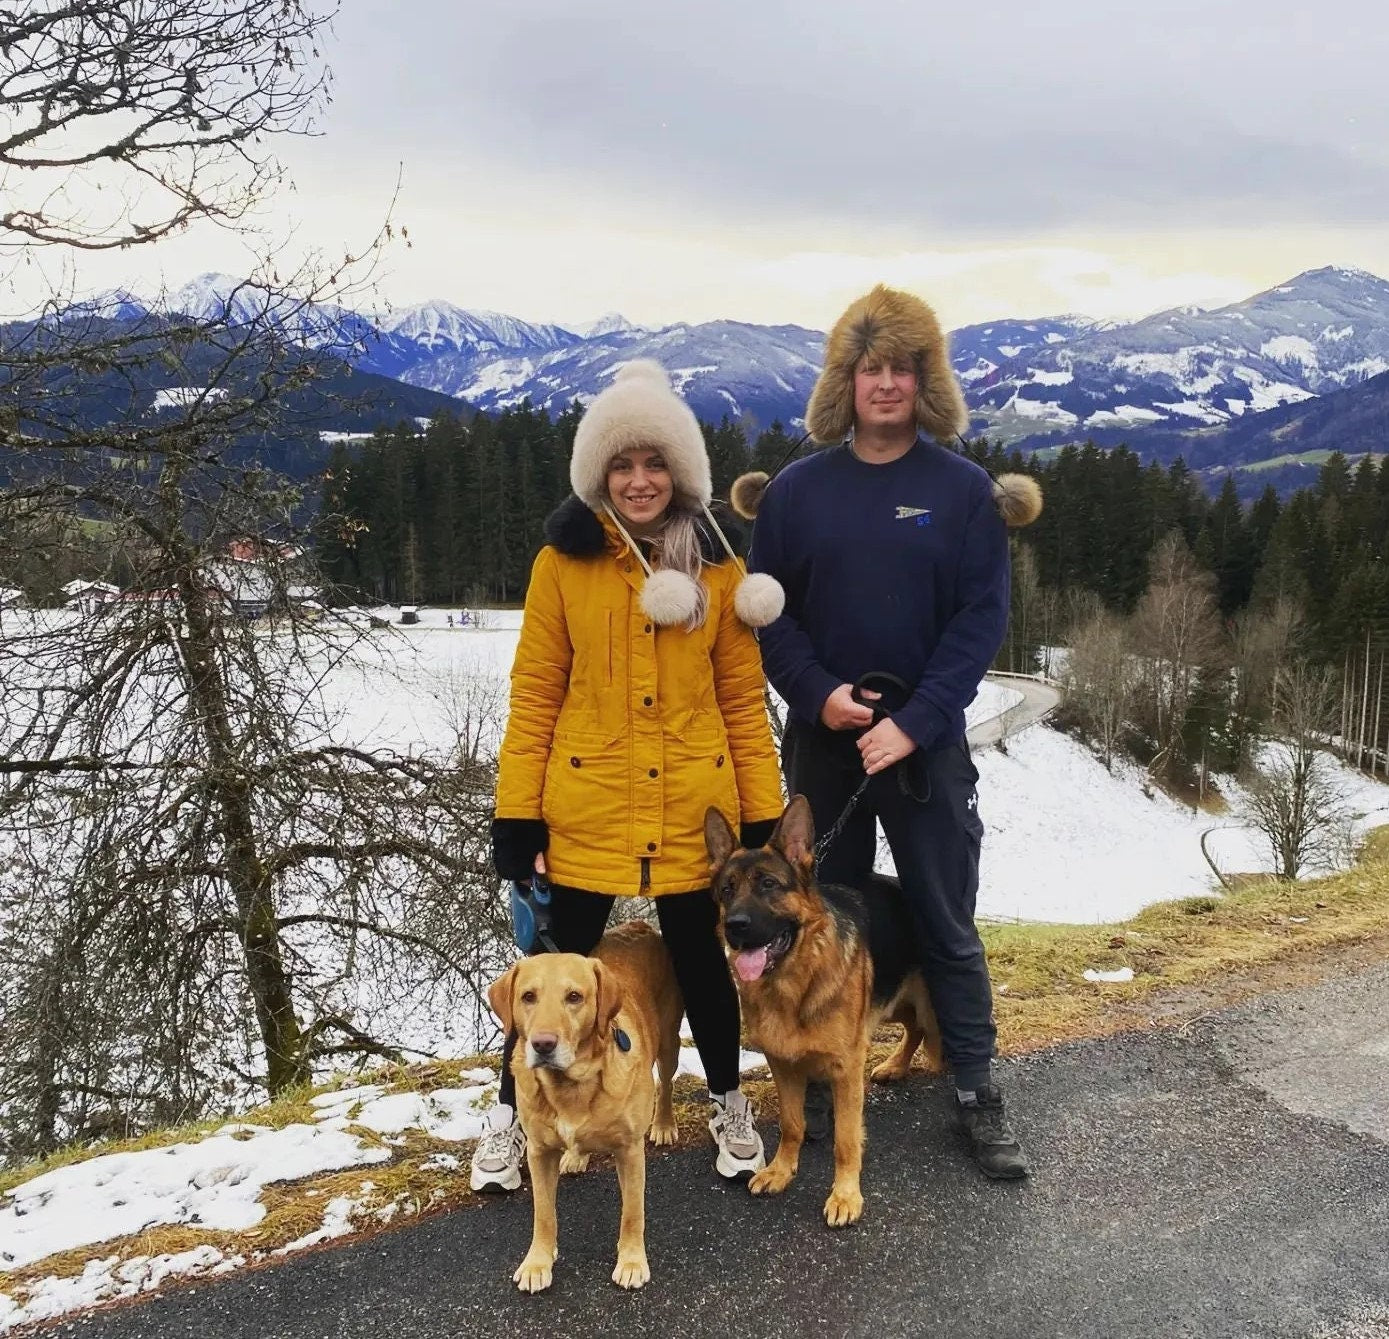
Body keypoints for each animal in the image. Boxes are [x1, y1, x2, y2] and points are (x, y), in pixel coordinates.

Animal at [488, 922, 683, 1288]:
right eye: (528, 997)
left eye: (574, 997)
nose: (543, 1044)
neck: (571, 1087)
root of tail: (639, 925)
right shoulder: (538, 1152)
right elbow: (543, 1214)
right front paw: (538, 1262)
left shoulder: (630, 1150)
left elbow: (632, 1213)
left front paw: (631, 1260)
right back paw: (576, 1156)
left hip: (669, 1041)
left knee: (665, 1083)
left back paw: (664, 1124)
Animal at [705, 794, 944, 1222]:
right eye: (727, 890)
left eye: (768, 884)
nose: (735, 926)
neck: (795, 982)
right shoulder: (782, 1064)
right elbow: (792, 1124)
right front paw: (781, 1171)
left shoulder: (847, 1068)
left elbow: (846, 1139)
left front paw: (846, 1195)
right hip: (893, 1002)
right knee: (913, 1028)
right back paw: (895, 1066)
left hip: (929, 1007)